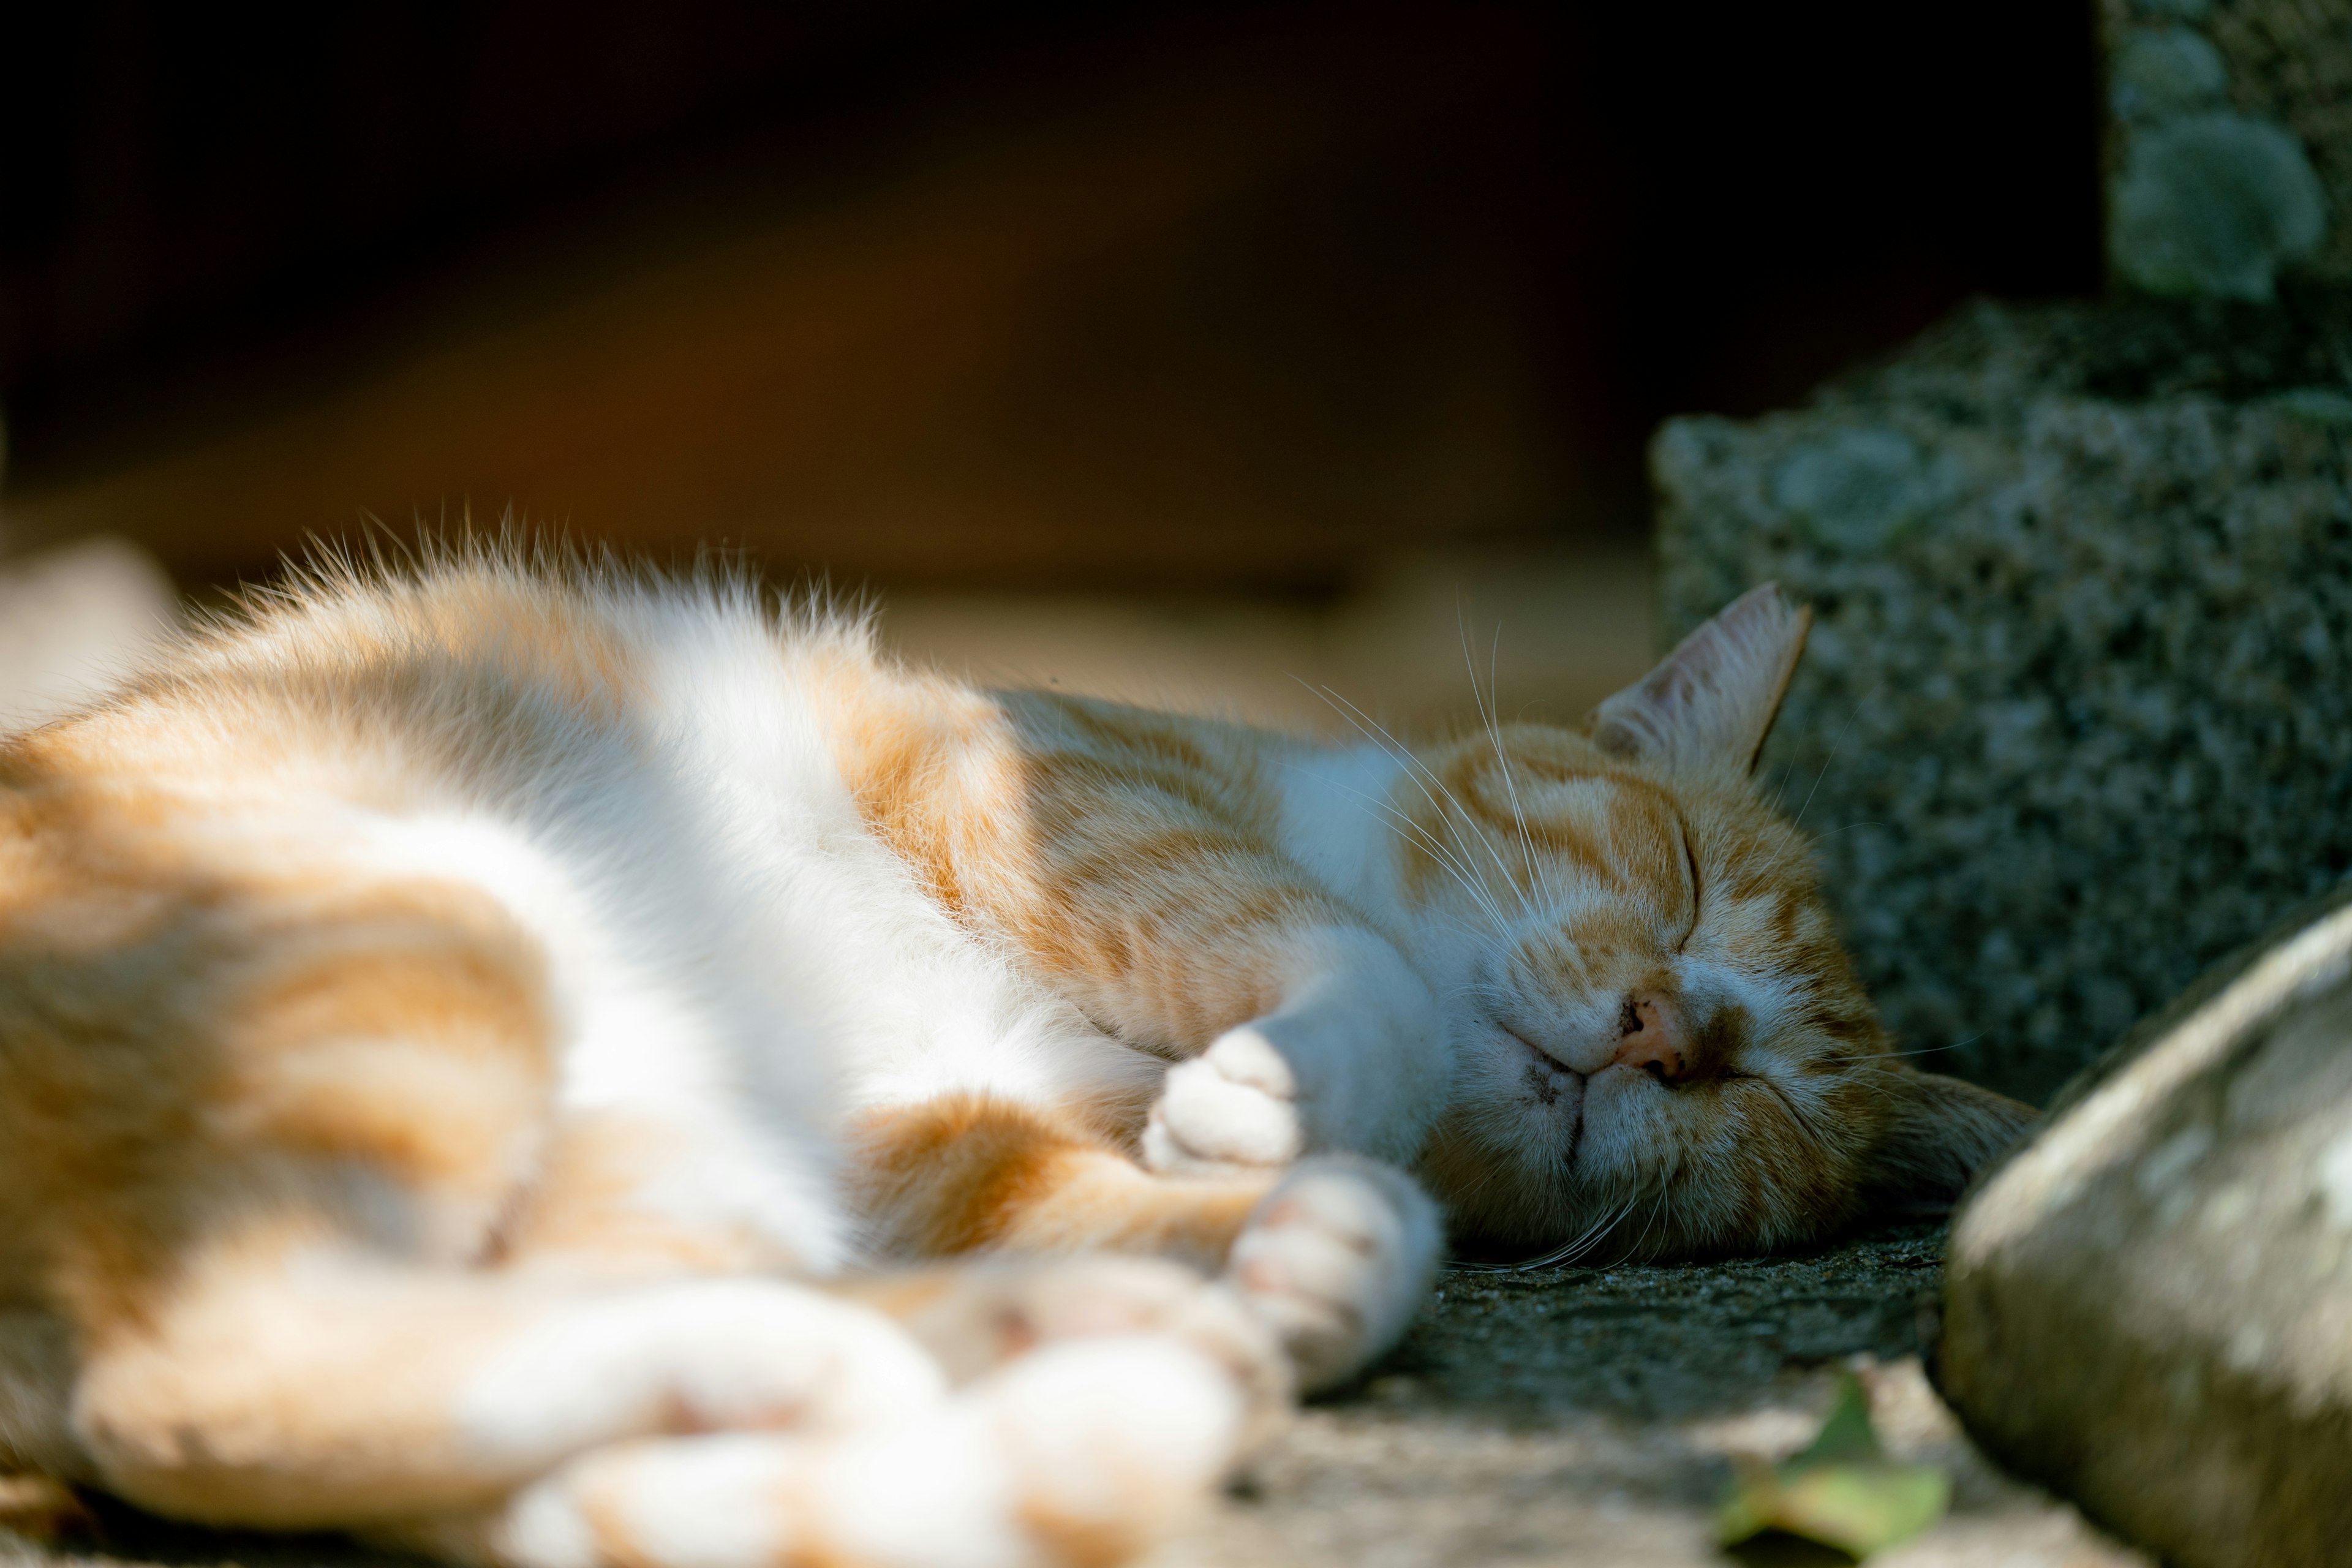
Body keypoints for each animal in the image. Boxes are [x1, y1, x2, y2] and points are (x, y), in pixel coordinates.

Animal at [0, 552, 2032, 1568]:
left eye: (1754, 1100)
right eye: (1679, 874)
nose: (1666, 1029)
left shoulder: (921, 1128)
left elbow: (1153, 1182)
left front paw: (1290, 1231)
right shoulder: (1056, 793)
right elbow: (1364, 975)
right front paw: (1278, 1119)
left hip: (670, 1144)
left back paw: (1029, 1351)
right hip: (441, 926)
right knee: (217, 1377)